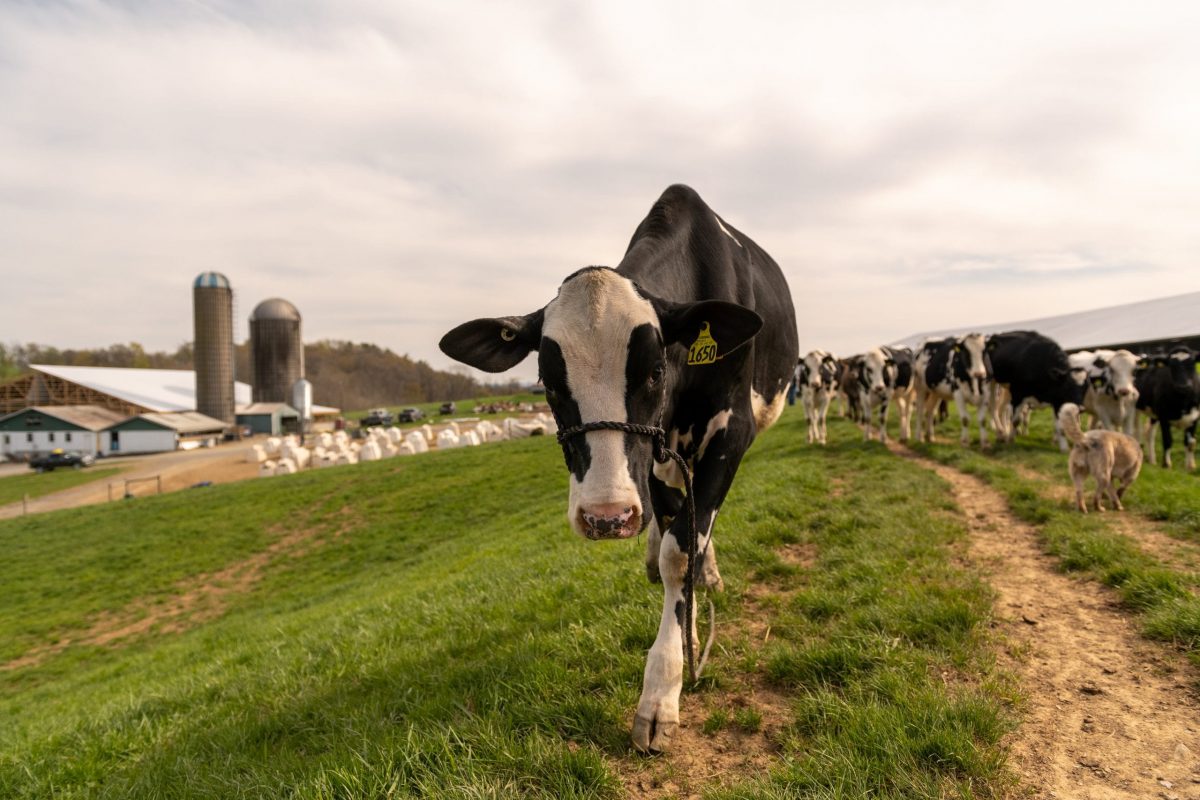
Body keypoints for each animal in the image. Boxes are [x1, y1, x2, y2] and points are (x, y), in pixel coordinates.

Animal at [439, 185, 798, 753]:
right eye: (547, 380)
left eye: (654, 371)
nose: (606, 516)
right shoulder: (650, 458)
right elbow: (673, 529)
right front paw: (684, 639)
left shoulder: (731, 433)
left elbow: (683, 548)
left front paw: (663, 691)